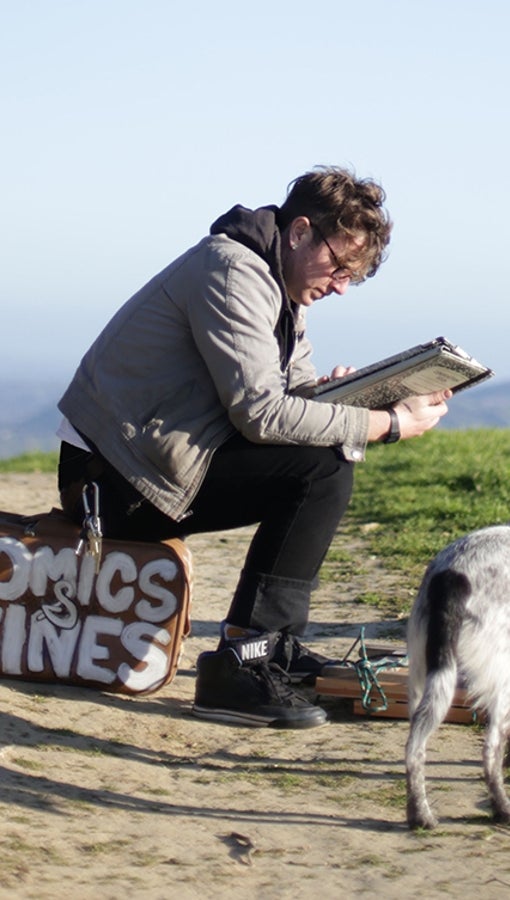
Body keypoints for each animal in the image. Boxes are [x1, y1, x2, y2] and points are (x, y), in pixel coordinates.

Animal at [408, 528, 510, 828]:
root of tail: (452, 575)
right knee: (490, 752)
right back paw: (503, 809)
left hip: (423, 677)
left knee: (415, 742)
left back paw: (419, 814)